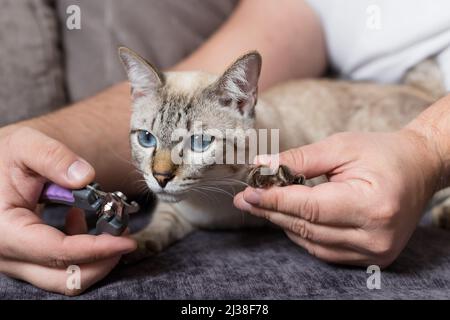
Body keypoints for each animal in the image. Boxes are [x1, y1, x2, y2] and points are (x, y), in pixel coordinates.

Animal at [118, 46, 450, 260]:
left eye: (200, 142)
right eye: (146, 139)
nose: (161, 177)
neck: (213, 202)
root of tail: (427, 94)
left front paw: (272, 180)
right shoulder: (177, 210)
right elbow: (158, 225)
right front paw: (134, 246)